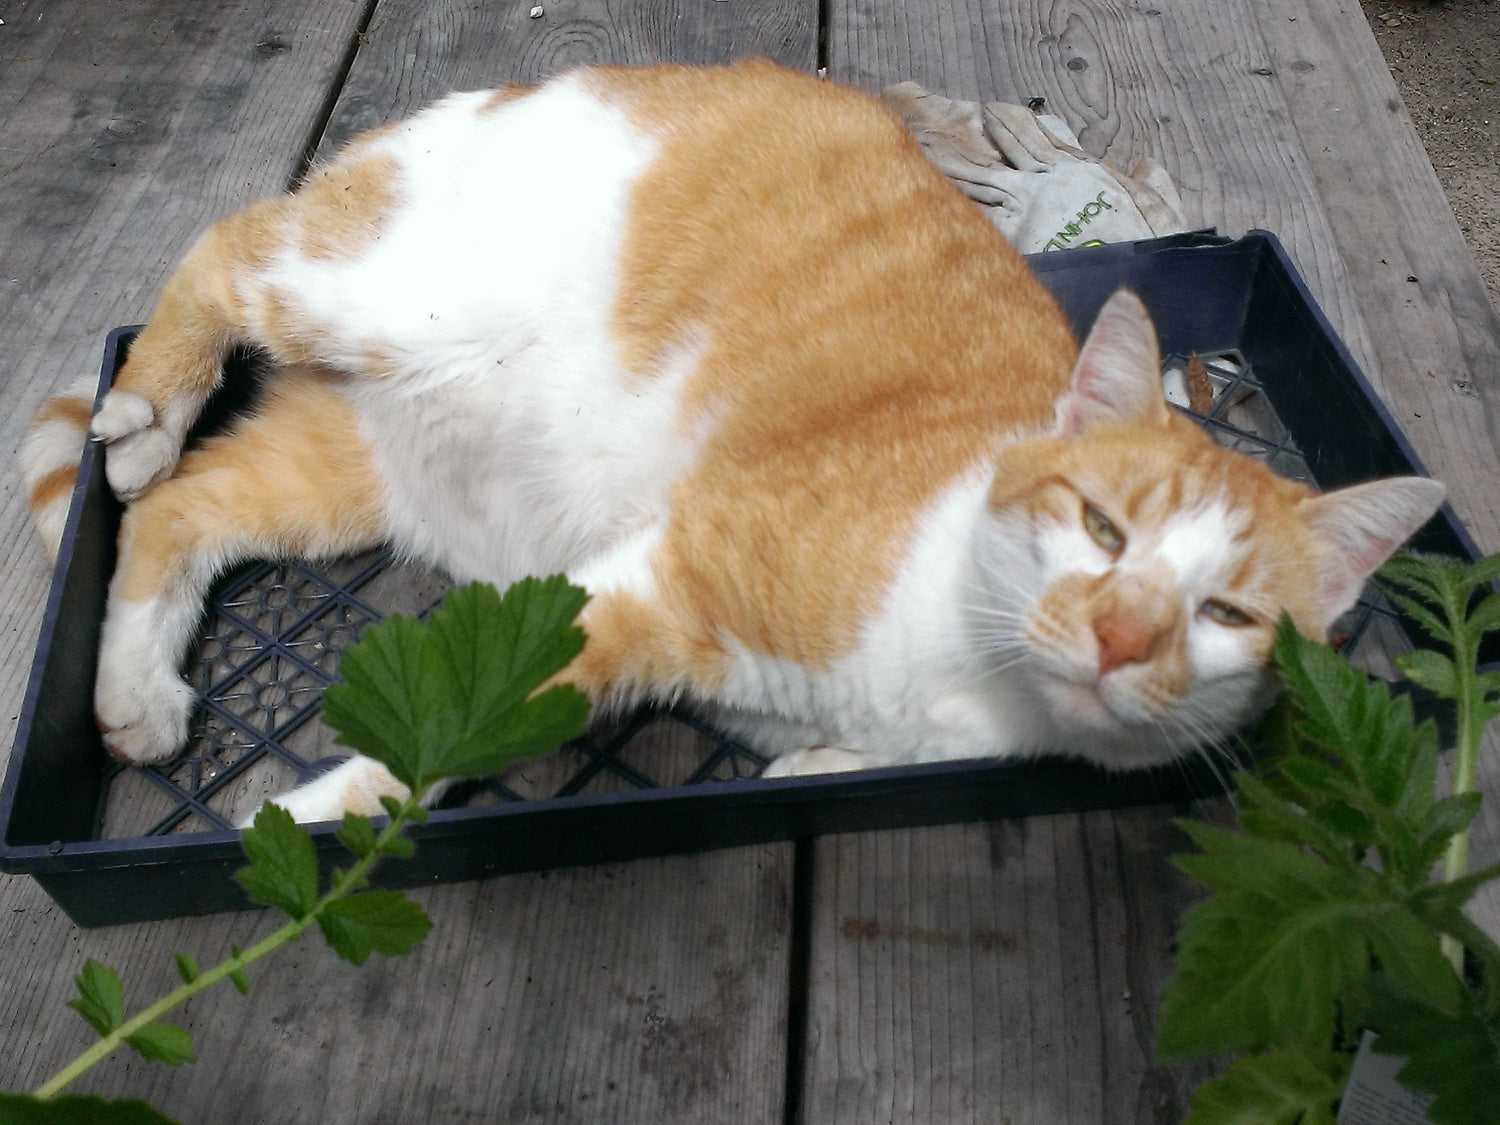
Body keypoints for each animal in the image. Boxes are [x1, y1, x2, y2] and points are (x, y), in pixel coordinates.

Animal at [14, 59, 1440, 822]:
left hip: (357, 471)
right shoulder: (645, 579)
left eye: (1229, 617)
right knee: (223, 248)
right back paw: (146, 408)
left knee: (181, 510)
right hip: (377, 292)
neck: (964, 673)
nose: (1121, 638)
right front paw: (316, 829)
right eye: (1101, 526)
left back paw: (136, 690)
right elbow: (477, 725)